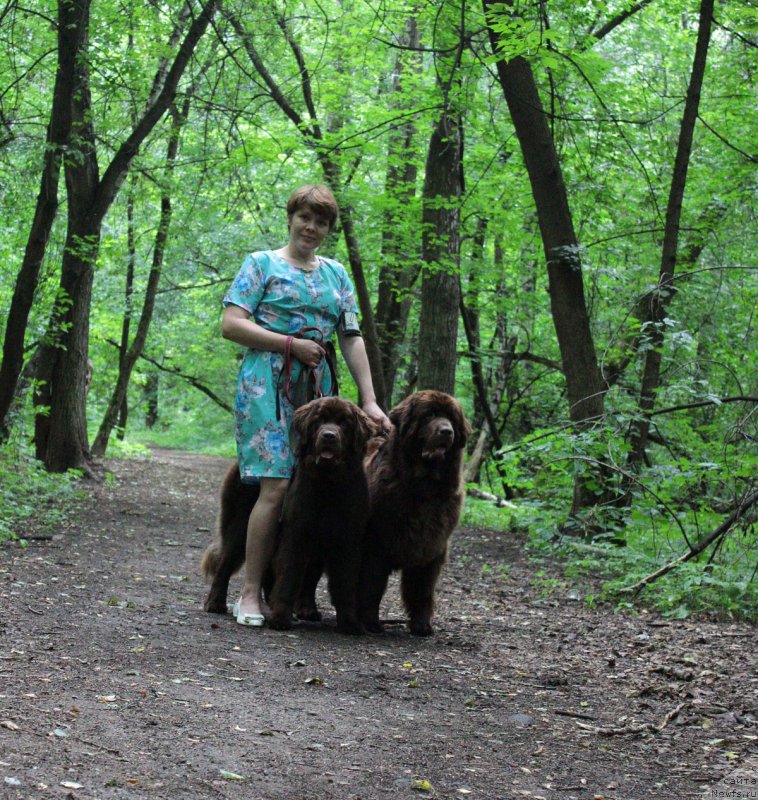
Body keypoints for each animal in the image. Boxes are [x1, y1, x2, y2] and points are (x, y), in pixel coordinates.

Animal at [200, 396, 376, 636]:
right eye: (319, 420)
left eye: (344, 423)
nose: (329, 435)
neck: (329, 485)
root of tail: (238, 465)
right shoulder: (296, 534)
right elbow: (289, 576)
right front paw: (280, 618)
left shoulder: (348, 540)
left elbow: (345, 583)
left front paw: (349, 623)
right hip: (240, 525)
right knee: (225, 563)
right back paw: (216, 603)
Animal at [360, 390, 472, 636]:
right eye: (429, 415)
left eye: (451, 418)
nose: (446, 431)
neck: (424, 488)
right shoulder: (376, 545)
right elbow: (372, 586)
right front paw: (370, 622)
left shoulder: (431, 546)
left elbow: (421, 589)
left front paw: (421, 625)